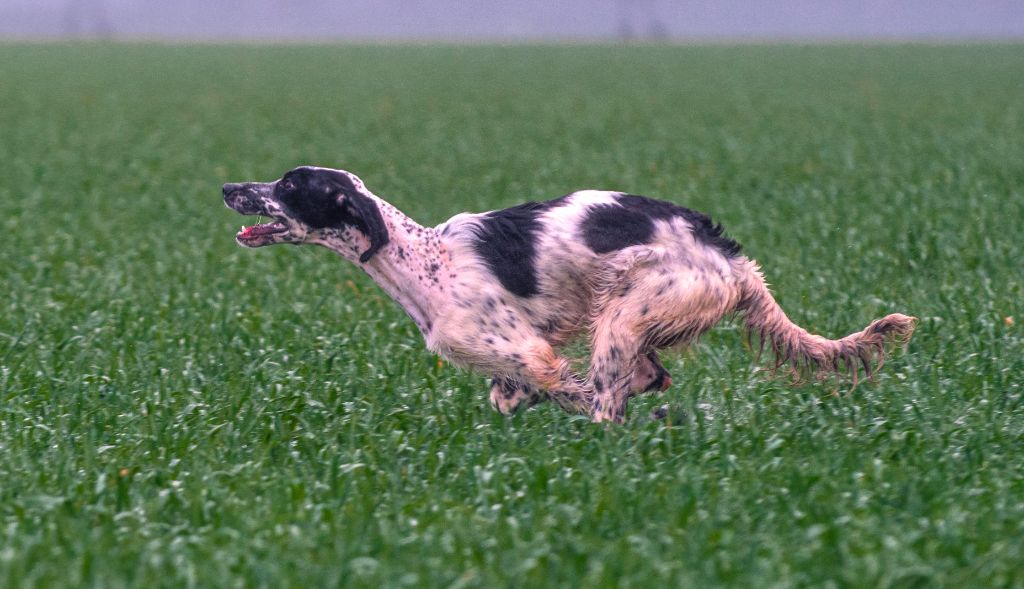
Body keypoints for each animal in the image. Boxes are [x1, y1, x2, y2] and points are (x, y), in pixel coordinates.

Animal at [222, 165, 913, 424]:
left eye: (289, 185)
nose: (229, 187)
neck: (424, 262)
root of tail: (735, 261)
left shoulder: (530, 352)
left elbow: (564, 387)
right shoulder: (516, 365)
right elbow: (509, 396)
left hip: (627, 312)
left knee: (613, 398)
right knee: (647, 377)